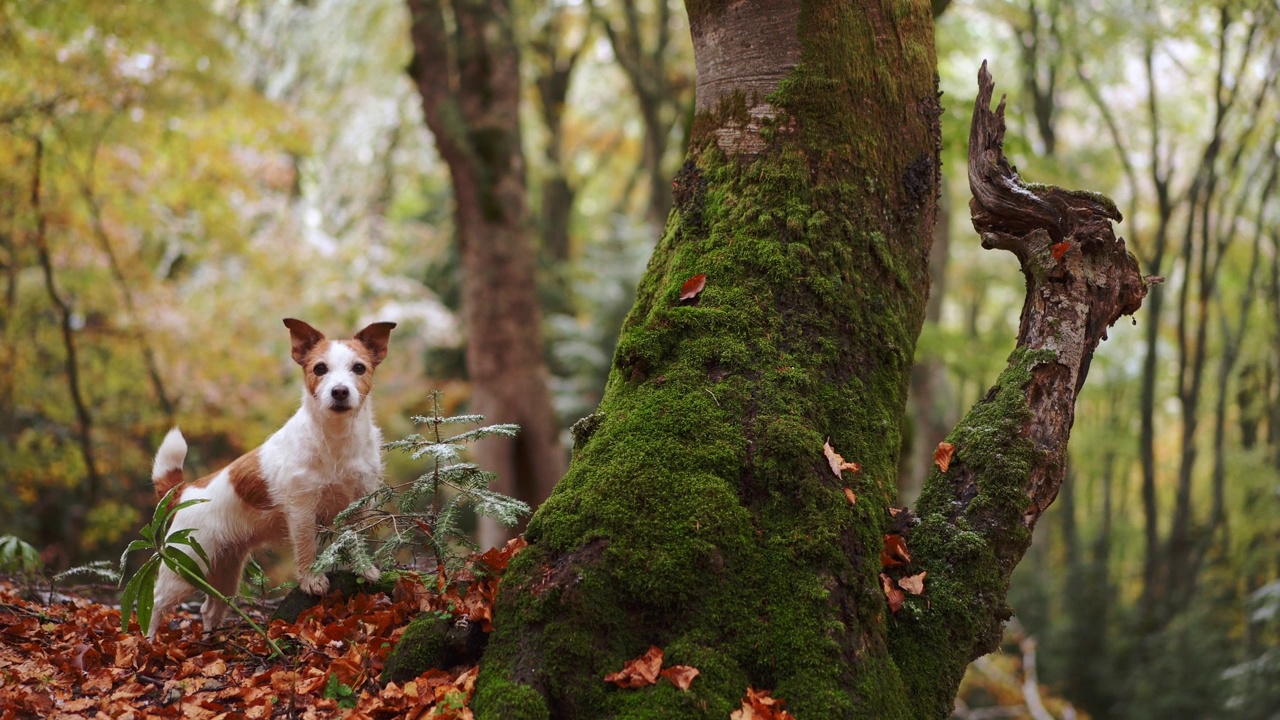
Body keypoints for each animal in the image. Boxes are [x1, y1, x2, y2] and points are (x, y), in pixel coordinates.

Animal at [146, 316, 394, 635]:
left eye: (359, 368)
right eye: (320, 369)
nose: (339, 391)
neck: (336, 440)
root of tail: (186, 490)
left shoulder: (361, 503)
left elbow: (357, 540)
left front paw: (364, 569)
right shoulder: (301, 509)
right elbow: (306, 547)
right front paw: (311, 580)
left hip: (225, 570)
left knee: (210, 608)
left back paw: (211, 637)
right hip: (184, 566)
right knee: (155, 604)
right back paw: (148, 642)